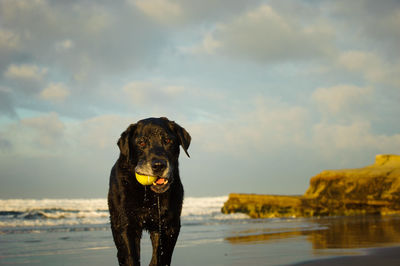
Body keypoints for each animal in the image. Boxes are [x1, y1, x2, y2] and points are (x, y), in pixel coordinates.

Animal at [108, 117, 191, 264]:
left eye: (167, 140)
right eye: (141, 142)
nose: (158, 165)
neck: (149, 194)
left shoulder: (169, 226)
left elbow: (160, 257)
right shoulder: (126, 225)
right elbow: (131, 256)